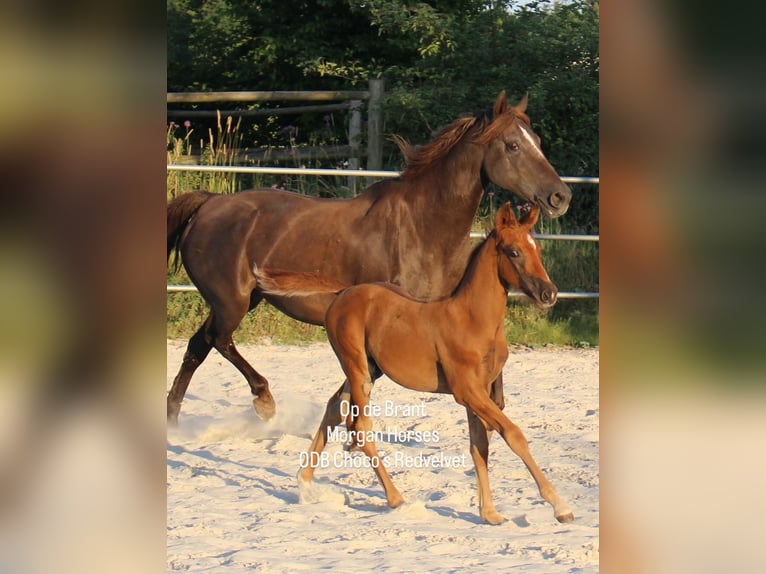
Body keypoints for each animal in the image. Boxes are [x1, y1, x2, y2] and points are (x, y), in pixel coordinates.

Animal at [167, 90, 571, 424]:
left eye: (536, 141)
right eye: (512, 145)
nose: (560, 197)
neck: (423, 226)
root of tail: (208, 204)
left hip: (242, 300)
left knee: (198, 346)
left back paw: (173, 420)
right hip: (231, 301)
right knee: (218, 340)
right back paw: (263, 401)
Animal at [256, 202, 574, 525]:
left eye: (538, 249)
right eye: (513, 252)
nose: (549, 293)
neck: (472, 319)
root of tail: (343, 292)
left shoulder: (480, 389)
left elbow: (479, 446)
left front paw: (489, 513)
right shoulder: (467, 390)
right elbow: (513, 434)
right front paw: (560, 507)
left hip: (370, 369)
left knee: (335, 407)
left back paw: (305, 483)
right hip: (357, 367)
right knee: (361, 427)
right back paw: (396, 498)